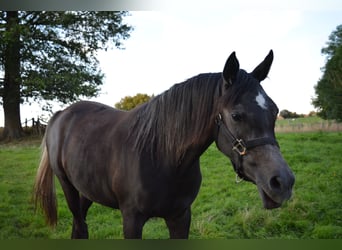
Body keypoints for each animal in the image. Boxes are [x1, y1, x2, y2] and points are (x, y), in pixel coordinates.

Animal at [34, 50, 294, 238]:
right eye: (236, 115)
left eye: (275, 111)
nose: (283, 182)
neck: (162, 157)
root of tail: (61, 115)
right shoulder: (132, 220)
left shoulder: (180, 217)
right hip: (68, 186)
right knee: (80, 225)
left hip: (88, 188)